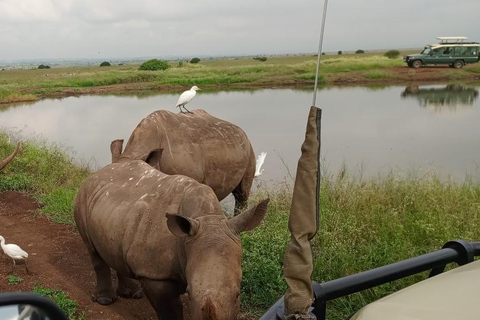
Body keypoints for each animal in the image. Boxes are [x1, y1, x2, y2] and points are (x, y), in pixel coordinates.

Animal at [75, 154, 270, 318]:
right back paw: (105, 300)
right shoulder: (155, 274)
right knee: (92, 249)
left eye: (237, 295)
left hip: (116, 210)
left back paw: (132, 294)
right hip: (83, 197)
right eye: (189, 294)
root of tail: (100, 171)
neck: (206, 217)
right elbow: (171, 312)